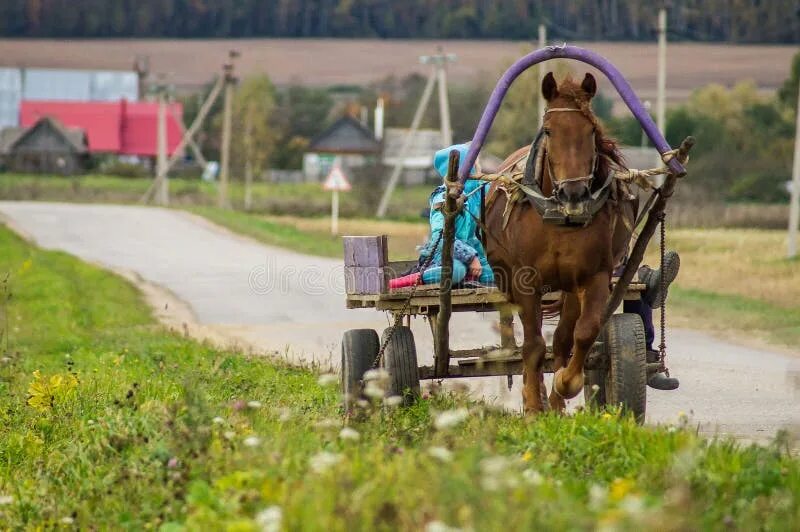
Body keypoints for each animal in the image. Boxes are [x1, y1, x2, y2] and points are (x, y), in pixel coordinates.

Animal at [482, 71, 636, 412]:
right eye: (550, 130)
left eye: (590, 130)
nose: (573, 194)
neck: (559, 217)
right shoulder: (526, 280)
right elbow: (533, 346)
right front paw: (532, 406)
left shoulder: (594, 276)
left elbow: (582, 333)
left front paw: (565, 384)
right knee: (533, 339)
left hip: (568, 286)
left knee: (563, 337)